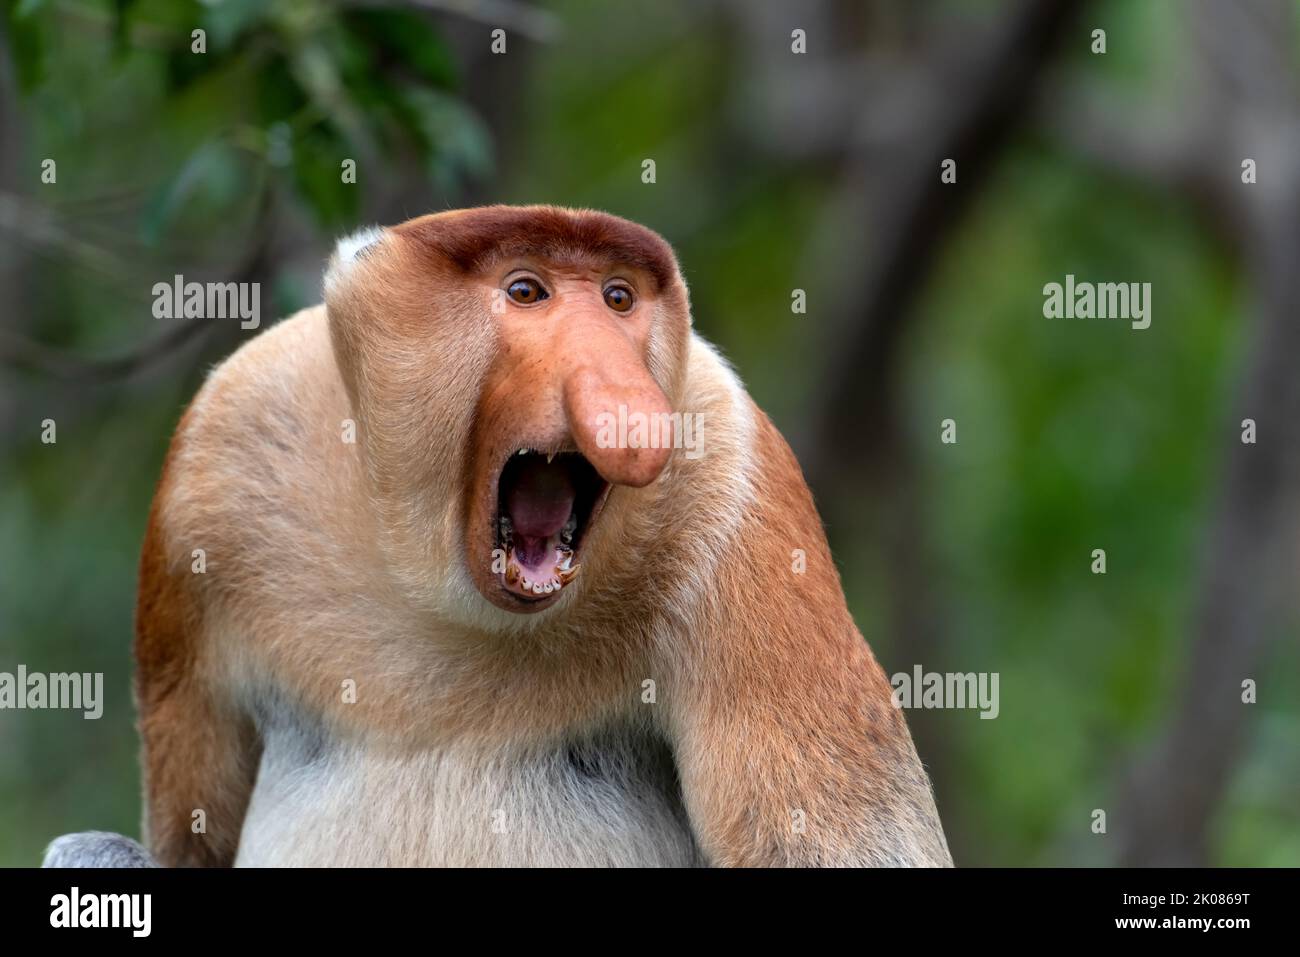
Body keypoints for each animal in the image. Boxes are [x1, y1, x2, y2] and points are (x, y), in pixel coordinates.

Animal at [47, 205, 951, 867]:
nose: (627, 398)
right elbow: (187, 840)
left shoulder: (736, 479)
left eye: (618, 299)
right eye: (527, 291)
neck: (439, 580)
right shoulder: (218, 454)